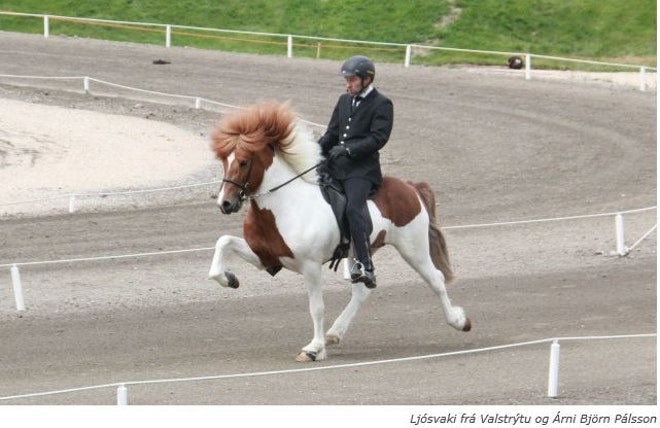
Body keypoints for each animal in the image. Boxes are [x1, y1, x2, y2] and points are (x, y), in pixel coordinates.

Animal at [206, 100, 470, 362]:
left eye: (243, 162)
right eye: (224, 161)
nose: (224, 203)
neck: (284, 205)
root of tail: (409, 186)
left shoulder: (310, 266)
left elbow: (316, 307)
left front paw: (313, 348)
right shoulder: (265, 257)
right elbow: (223, 243)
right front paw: (229, 278)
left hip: (413, 248)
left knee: (435, 279)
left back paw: (459, 321)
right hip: (360, 252)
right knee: (362, 290)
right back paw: (334, 334)